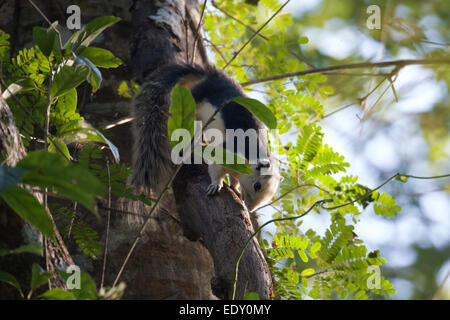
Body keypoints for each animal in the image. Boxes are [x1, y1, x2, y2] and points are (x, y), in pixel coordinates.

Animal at [128, 63, 282, 212]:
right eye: (257, 185)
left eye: (269, 196)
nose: (250, 208)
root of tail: (211, 75)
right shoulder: (229, 151)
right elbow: (216, 168)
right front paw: (216, 185)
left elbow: (235, 179)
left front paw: (235, 188)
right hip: (195, 99)